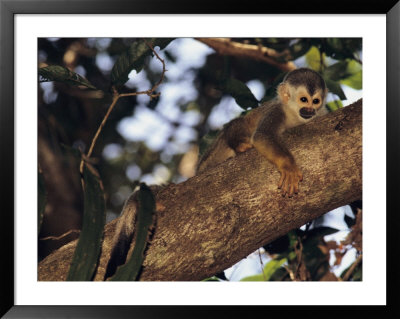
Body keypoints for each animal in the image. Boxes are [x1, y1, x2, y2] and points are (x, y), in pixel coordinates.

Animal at [198, 69, 328, 196]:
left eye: (316, 101)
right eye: (304, 100)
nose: (310, 110)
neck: (294, 115)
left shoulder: (320, 113)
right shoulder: (276, 111)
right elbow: (263, 135)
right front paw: (289, 166)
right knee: (240, 122)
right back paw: (240, 145)